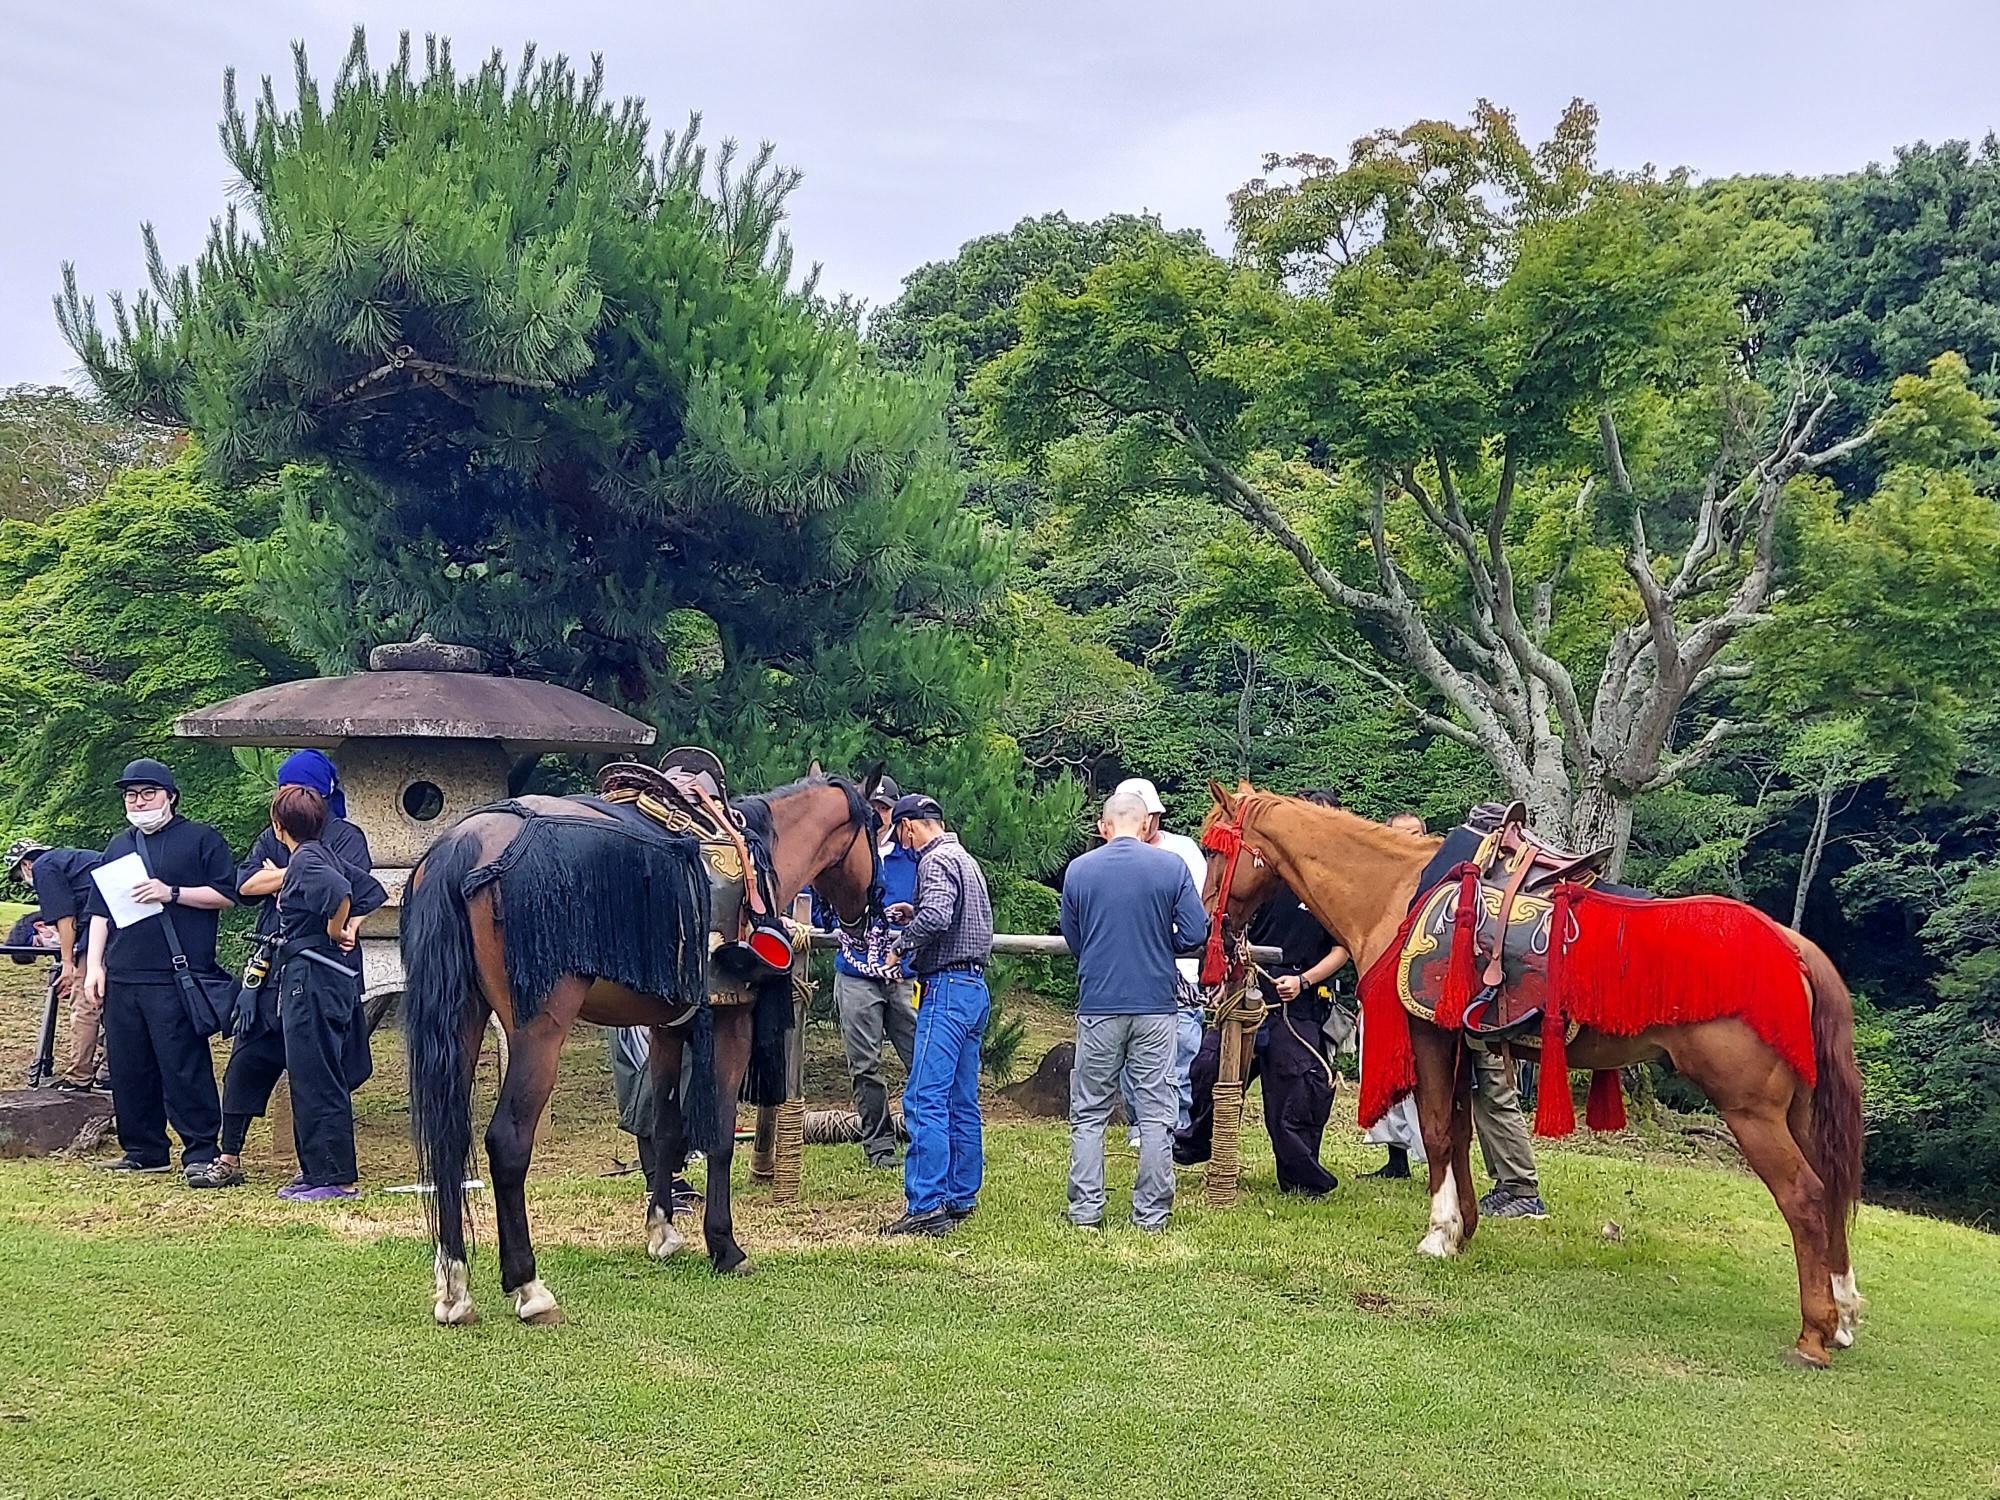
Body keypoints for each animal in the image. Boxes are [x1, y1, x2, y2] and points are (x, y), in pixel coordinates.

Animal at [402, 776, 880, 1328]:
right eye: (876, 827)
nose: (871, 911)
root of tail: (464, 844)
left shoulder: (666, 1029)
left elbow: (667, 1129)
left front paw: (663, 1231)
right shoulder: (730, 1021)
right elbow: (718, 1135)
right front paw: (724, 1246)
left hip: (462, 1017)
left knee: (449, 1141)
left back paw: (454, 1287)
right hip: (538, 1030)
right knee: (506, 1143)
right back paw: (530, 1287)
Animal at [1192, 788, 1864, 1376]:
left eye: (1215, 849)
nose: (1204, 930)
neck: (1396, 887)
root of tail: (1796, 949)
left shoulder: (1429, 1034)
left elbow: (1436, 1131)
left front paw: (1439, 1234)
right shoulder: (1462, 1043)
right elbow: (1459, 1134)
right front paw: (1464, 1228)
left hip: (1750, 1110)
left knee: (1806, 1198)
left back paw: (1813, 1334)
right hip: (1798, 1111)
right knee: (1830, 1191)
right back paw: (1843, 1313)